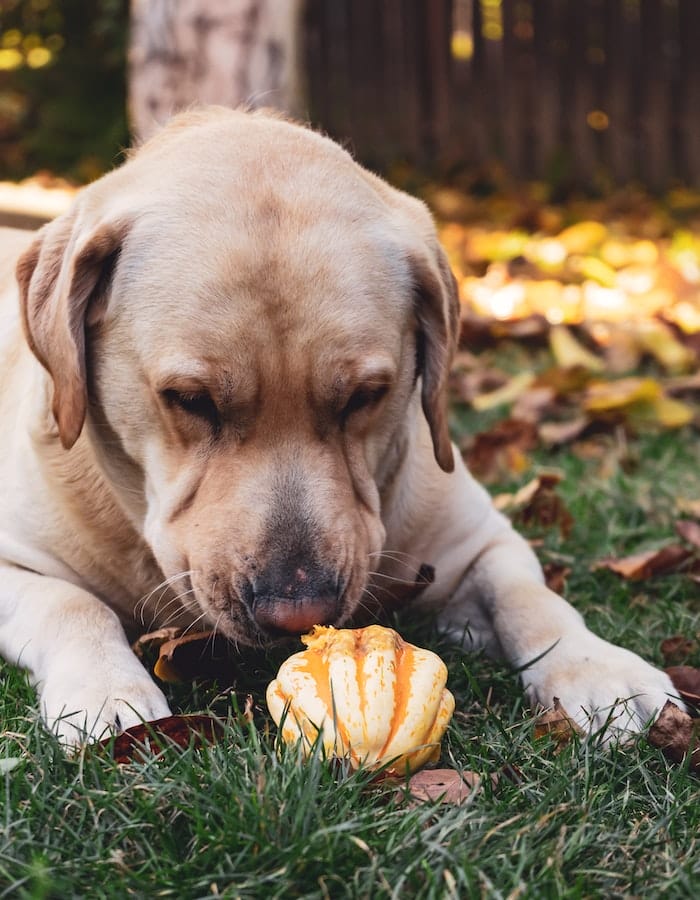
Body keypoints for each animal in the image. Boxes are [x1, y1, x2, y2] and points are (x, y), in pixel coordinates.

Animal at [0, 109, 680, 744]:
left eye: (366, 396)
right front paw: (106, 693)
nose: (297, 613)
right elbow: (72, 603)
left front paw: (600, 670)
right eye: (190, 399)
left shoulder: (482, 541)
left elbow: (529, 596)